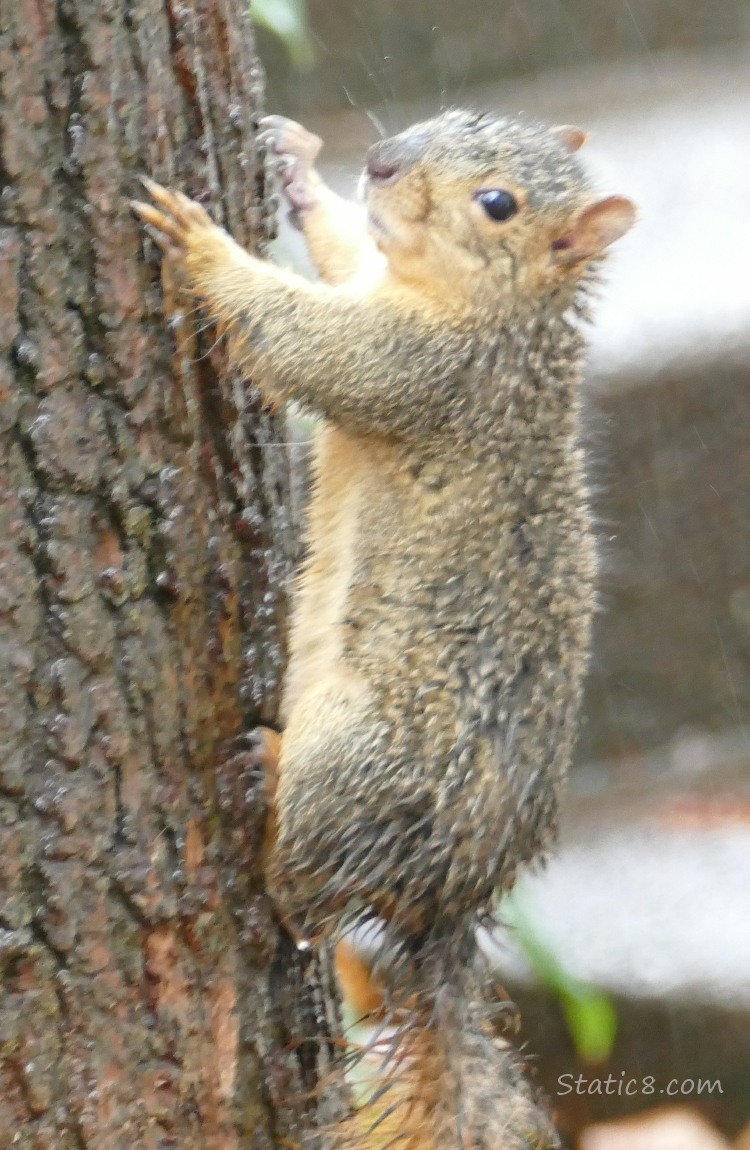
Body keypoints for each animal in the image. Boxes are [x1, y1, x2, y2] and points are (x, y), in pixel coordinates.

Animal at [133, 108, 634, 1150]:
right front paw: (297, 167)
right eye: (454, 120)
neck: (508, 319)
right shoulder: (381, 293)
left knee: (302, 900)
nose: (383, 160)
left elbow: (308, 341)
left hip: (361, 758)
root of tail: (446, 898)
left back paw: (269, 780)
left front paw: (203, 242)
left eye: (498, 203)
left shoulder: (426, 372)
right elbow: (341, 255)